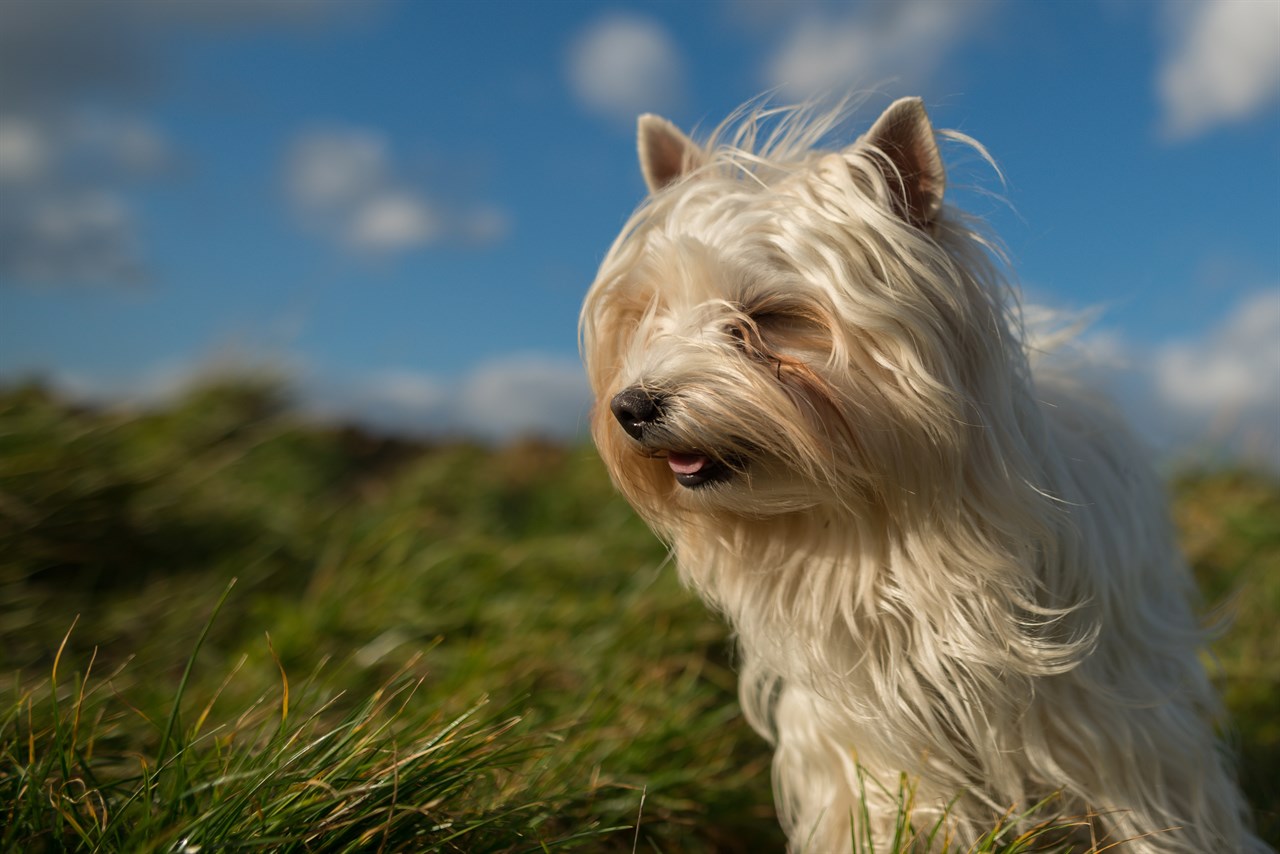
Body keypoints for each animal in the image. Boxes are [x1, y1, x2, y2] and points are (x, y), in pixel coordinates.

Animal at [586, 96, 1264, 850]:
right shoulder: (865, 735)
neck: (873, 521)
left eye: (767, 316)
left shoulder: (1108, 717)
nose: (630, 407)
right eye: (648, 315)